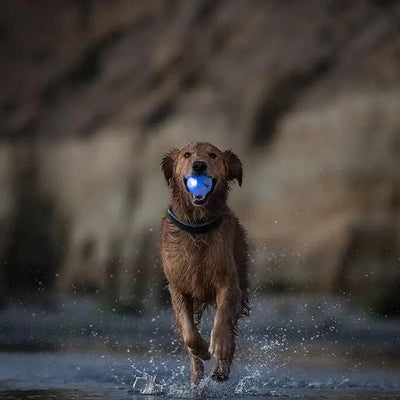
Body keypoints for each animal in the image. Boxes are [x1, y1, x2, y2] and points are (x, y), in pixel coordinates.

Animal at [160, 142, 248, 386]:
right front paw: (201, 351)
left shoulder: (228, 281)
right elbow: (190, 334)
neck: (197, 228)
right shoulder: (178, 288)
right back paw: (196, 375)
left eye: (213, 155)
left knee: (232, 327)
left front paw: (218, 345)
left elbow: (223, 315)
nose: (199, 165)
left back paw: (221, 369)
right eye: (186, 155)